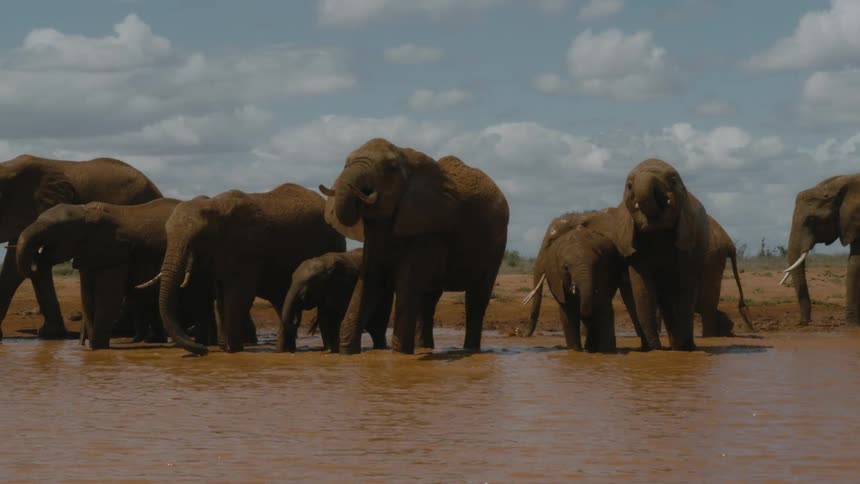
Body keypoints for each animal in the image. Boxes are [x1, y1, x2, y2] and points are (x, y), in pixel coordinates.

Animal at [15, 199, 220, 349]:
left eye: (53, 230)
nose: (35, 262)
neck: (85, 212)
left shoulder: (115, 251)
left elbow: (108, 299)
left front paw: (99, 349)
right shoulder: (89, 253)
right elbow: (88, 299)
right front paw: (91, 350)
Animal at [154, 183, 346, 355]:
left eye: (197, 238)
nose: (203, 350)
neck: (215, 205)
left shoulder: (248, 249)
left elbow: (239, 296)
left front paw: (233, 351)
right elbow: (219, 298)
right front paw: (225, 349)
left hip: (334, 243)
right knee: (282, 302)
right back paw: (286, 350)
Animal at [320, 138, 509, 354]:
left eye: (391, 167)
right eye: (345, 163)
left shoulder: (427, 227)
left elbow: (405, 281)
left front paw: (400, 355)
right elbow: (369, 279)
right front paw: (347, 354)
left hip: (496, 244)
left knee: (476, 297)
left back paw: (470, 351)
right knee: (428, 299)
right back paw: (425, 348)